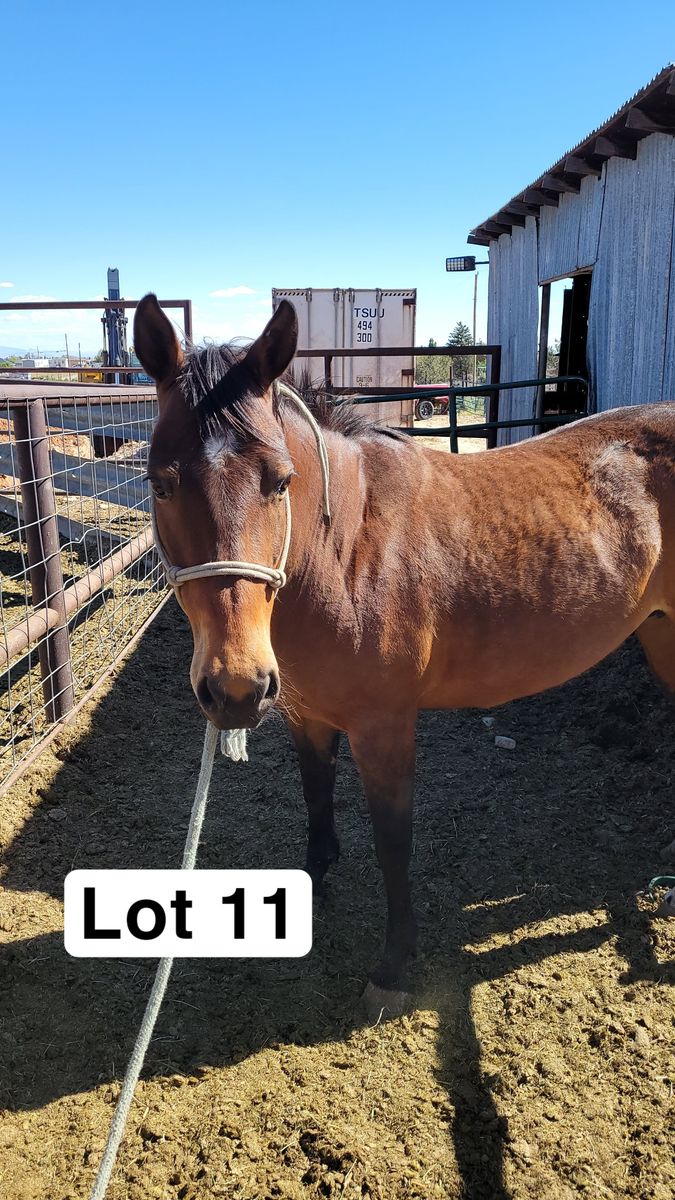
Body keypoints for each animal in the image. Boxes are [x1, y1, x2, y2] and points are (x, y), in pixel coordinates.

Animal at [134, 293, 675, 1014]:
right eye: (160, 482)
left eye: (279, 481)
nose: (235, 689)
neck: (344, 552)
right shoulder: (306, 715)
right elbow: (316, 800)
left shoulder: (384, 727)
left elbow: (393, 842)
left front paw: (393, 968)